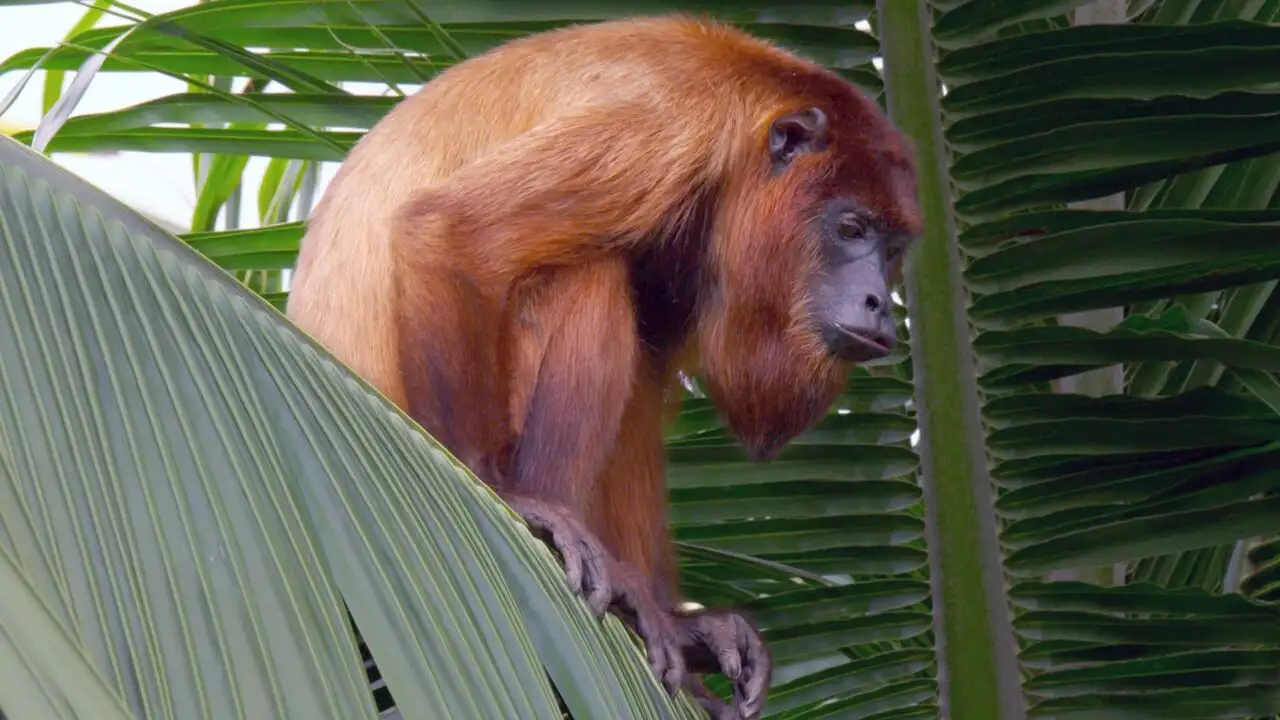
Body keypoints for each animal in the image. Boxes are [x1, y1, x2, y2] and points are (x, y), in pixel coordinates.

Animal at [286, 15, 920, 719]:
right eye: (851, 228)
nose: (880, 303)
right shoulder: (668, 126)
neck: (747, 111)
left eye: (892, 249)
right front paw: (510, 501)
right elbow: (449, 231)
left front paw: (683, 626)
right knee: (588, 274)